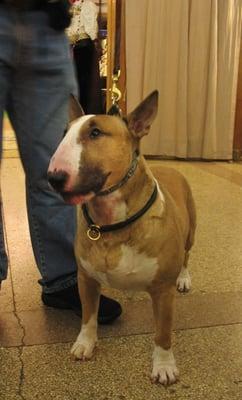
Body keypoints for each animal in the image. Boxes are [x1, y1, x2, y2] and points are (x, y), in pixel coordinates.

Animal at [47, 92, 197, 386]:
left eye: (95, 132)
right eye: (64, 133)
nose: (53, 177)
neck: (110, 224)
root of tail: (169, 166)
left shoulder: (163, 290)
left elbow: (163, 333)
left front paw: (164, 366)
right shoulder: (86, 277)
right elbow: (88, 315)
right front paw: (85, 343)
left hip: (190, 233)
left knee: (186, 255)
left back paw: (184, 278)